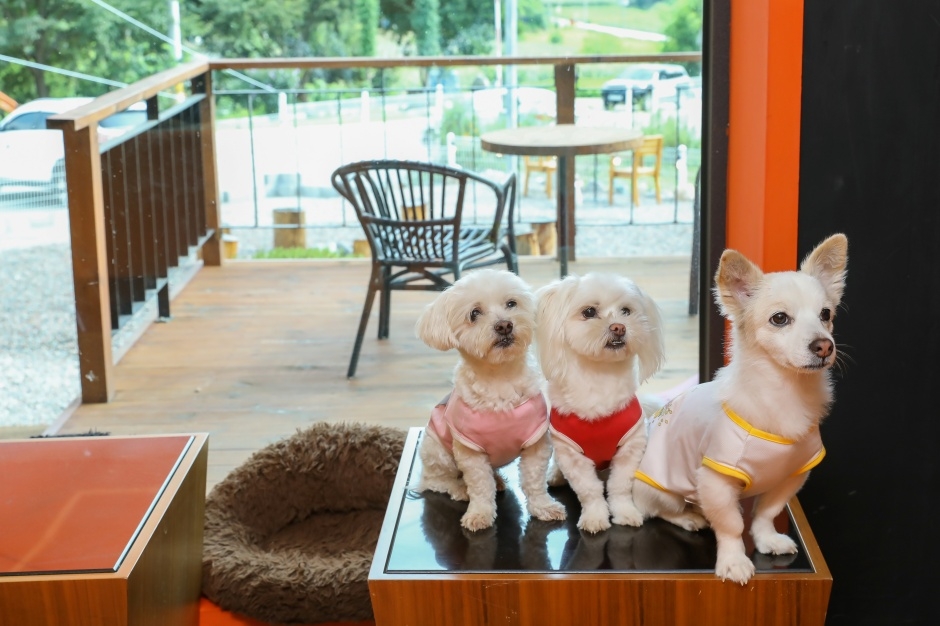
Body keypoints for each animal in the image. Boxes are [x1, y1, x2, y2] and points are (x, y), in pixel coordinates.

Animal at [414, 269, 567, 532]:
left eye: (511, 303)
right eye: (474, 313)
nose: (504, 325)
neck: (499, 379)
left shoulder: (536, 443)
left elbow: (534, 481)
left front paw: (544, 507)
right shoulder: (470, 451)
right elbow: (479, 486)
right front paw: (479, 514)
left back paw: (498, 480)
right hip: (437, 451)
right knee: (435, 481)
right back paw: (459, 489)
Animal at [535, 272, 666, 533]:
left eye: (626, 310)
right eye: (589, 312)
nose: (619, 327)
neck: (599, 378)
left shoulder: (630, 447)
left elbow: (620, 486)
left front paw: (625, 513)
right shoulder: (571, 454)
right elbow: (589, 490)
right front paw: (595, 517)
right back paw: (555, 475)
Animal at [634, 233, 848, 584]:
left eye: (826, 314)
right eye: (780, 319)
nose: (824, 345)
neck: (785, 392)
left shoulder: (792, 476)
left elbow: (766, 513)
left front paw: (766, 539)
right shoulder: (716, 481)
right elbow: (731, 525)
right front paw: (734, 561)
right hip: (661, 488)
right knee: (661, 509)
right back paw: (689, 516)